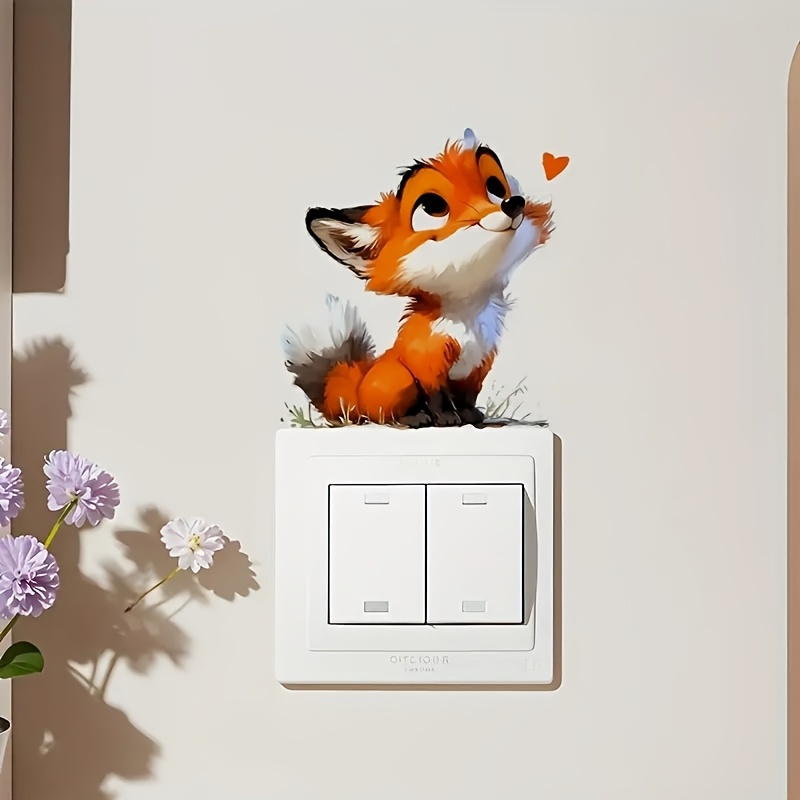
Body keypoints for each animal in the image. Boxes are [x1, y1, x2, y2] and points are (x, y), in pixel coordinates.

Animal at [282, 128, 553, 428]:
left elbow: (468, 398)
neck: (468, 322)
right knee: (382, 415)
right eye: (433, 206)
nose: (513, 204)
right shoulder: (428, 367)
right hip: (398, 380)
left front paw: (470, 416)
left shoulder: (478, 367)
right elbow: (437, 397)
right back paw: (414, 417)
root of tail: (356, 392)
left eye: (495, 187)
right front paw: (446, 419)